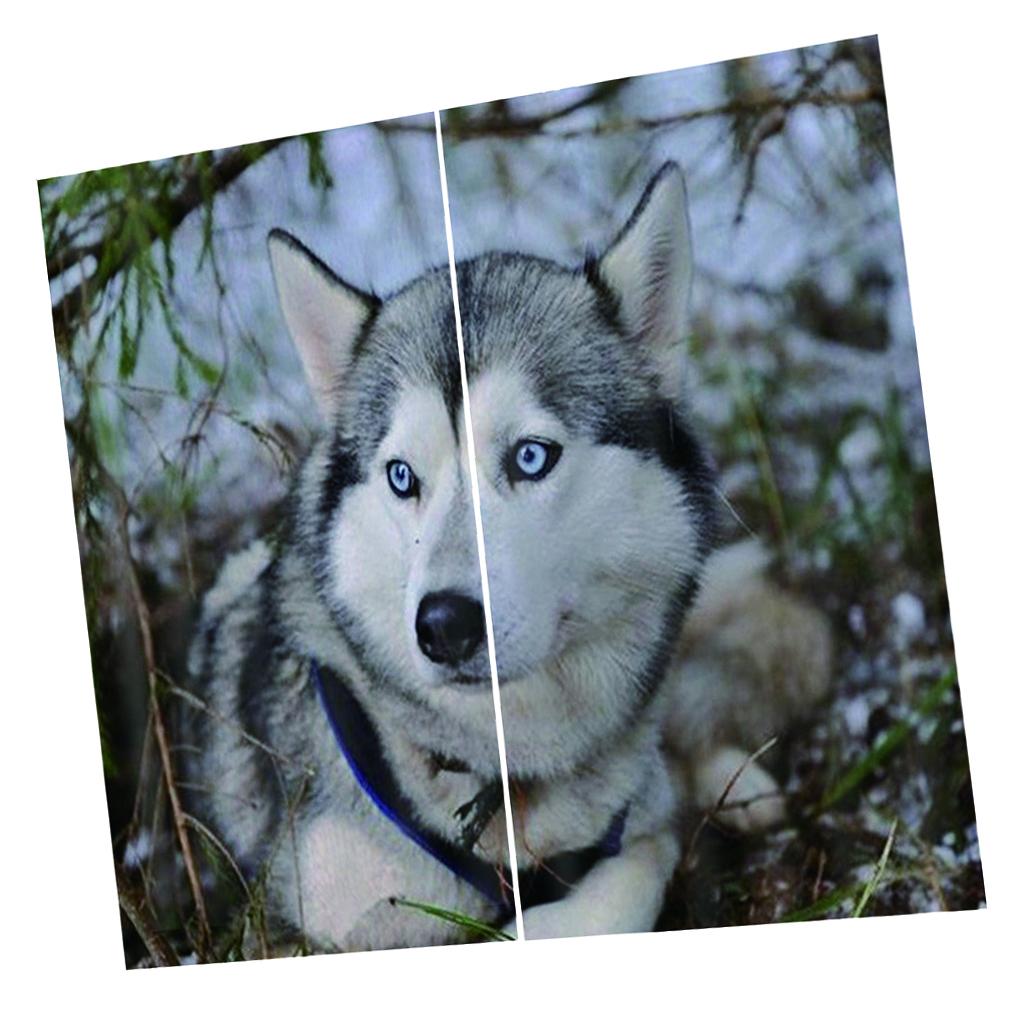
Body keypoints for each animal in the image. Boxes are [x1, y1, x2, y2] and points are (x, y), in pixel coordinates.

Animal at [185, 162, 831, 952]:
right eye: (402, 476)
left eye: (530, 457)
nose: (445, 625)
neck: (495, 771)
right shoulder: (297, 924)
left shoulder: (632, 837)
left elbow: (637, 866)